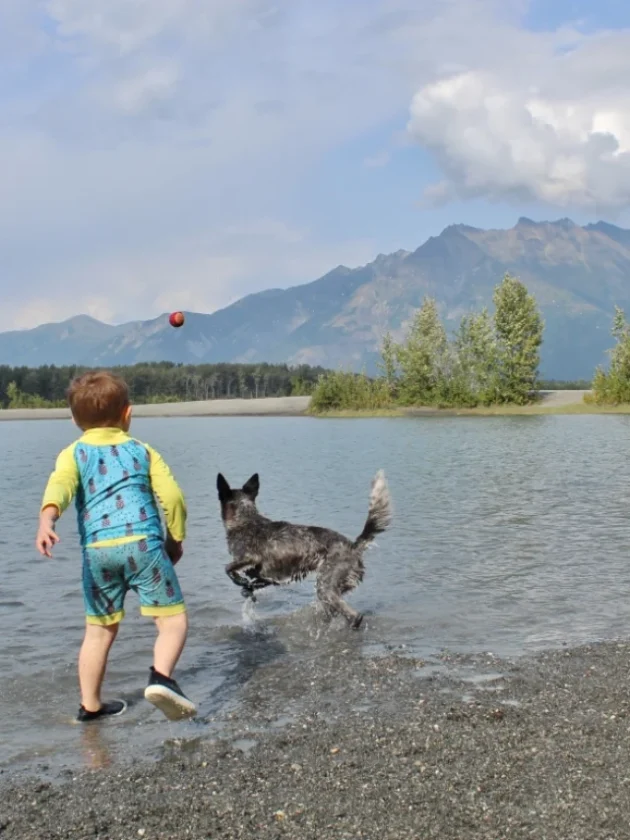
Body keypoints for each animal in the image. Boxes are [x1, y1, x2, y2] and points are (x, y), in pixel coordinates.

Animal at [220, 470, 392, 628]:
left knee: (355, 617)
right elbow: (249, 584)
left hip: (325, 587)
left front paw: (239, 580)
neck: (246, 520)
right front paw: (246, 587)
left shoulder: (249, 558)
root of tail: (354, 546)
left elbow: (228, 568)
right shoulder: (268, 578)